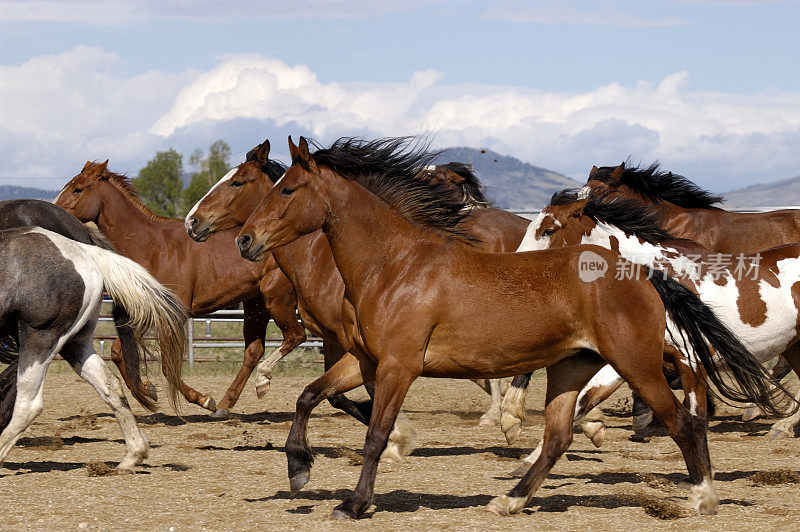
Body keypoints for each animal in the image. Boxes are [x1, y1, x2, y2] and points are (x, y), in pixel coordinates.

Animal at [0, 224, 186, 470]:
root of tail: (85, 251)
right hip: (74, 344)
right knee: (111, 386)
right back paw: (133, 455)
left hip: (40, 337)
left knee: (28, 405)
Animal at [53, 160, 308, 418]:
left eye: (77, 189)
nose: (53, 209)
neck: (151, 246)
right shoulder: (148, 312)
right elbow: (118, 352)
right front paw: (148, 391)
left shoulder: (171, 316)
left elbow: (167, 366)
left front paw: (203, 399)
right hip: (255, 305)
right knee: (254, 351)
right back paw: (226, 403)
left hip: (276, 299)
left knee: (296, 336)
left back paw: (253, 388)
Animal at [234, 134, 780, 520]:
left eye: (288, 189)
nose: (244, 240)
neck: (395, 266)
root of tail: (642, 271)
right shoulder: (368, 362)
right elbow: (313, 398)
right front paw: (299, 470)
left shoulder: (398, 367)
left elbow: (374, 433)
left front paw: (352, 503)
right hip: (572, 367)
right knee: (559, 436)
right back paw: (509, 500)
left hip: (635, 362)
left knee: (683, 421)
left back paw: (703, 498)